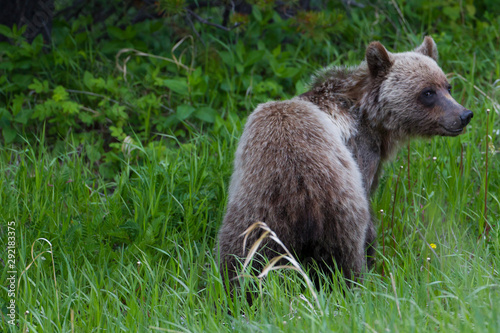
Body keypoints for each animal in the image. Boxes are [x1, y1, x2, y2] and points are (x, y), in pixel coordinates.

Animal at [217, 35, 470, 286]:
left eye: (447, 86)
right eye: (427, 92)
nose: (464, 115)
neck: (371, 119)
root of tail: (299, 184)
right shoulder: (362, 155)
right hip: (324, 204)